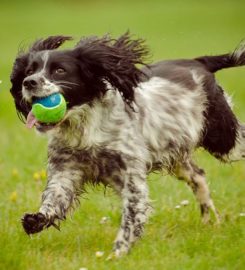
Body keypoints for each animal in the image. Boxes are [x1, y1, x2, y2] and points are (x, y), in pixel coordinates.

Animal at [10, 32, 245, 256]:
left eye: (59, 70)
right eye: (29, 70)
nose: (28, 82)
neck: (86, 128)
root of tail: (199, 62)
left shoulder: (130, 176)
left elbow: (131, 217)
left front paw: (118, 253)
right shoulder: (65, 169)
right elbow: (54, 197)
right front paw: (36, 219)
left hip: (225, 140)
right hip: (175, 154)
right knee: (199, 176)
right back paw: (210, 219)